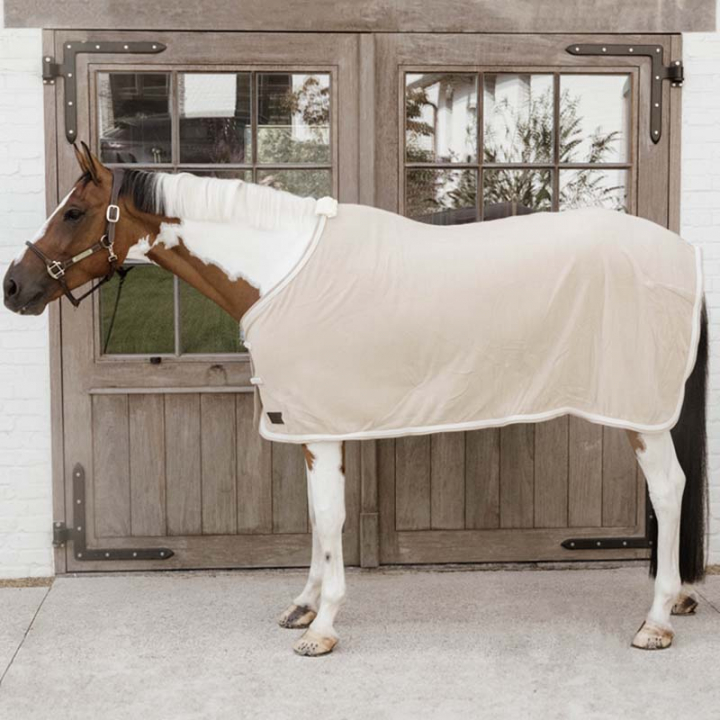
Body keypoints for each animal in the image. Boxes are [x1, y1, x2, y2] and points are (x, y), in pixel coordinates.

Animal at [3, 143, 707, 657]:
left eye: (73, 213)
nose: (14, 285)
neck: (277, 271)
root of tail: (683, 252)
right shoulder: (307, 425)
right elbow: (318, 521)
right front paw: (304, 605)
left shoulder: (318, 427)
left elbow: (329, 517)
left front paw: (323, 627)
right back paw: (675, 602)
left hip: (640, 412)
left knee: (668, 488)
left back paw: (656, 620)